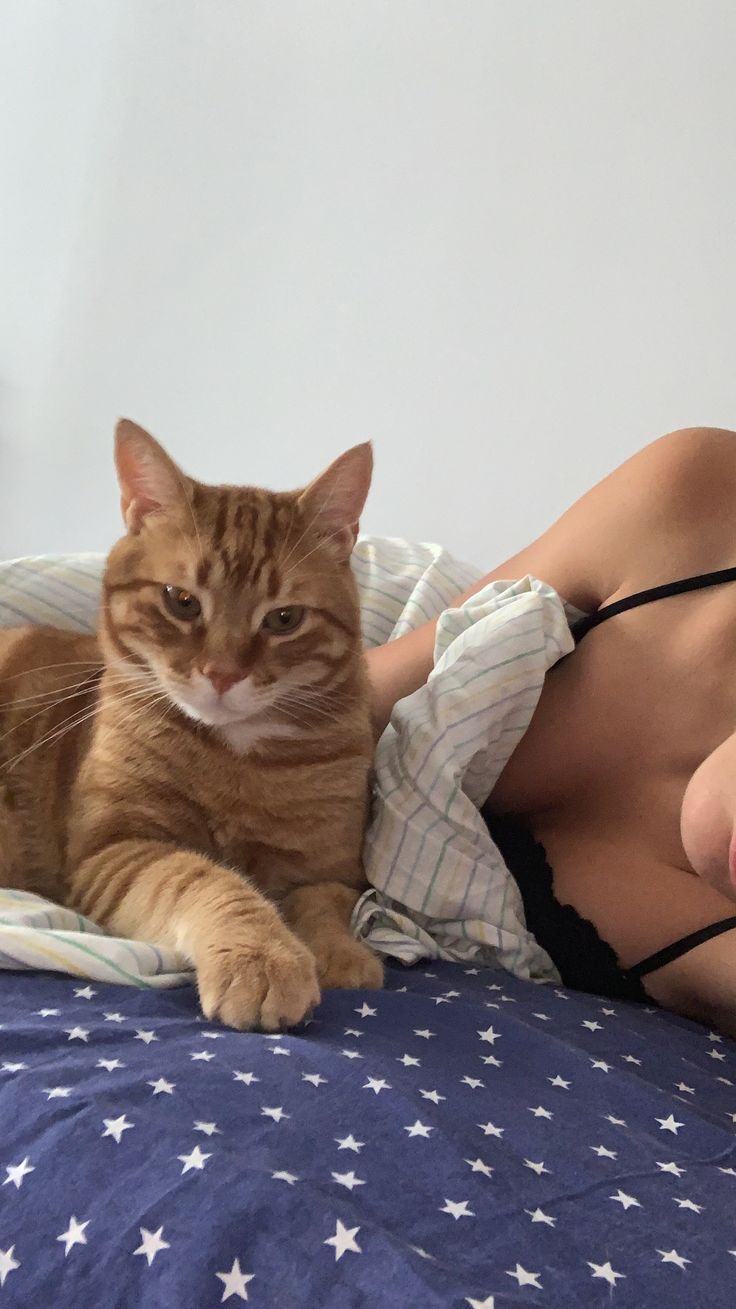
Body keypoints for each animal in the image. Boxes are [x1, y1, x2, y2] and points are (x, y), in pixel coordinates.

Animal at [0, 418, 377, 1021]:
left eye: (284, 619)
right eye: (181, 601)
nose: (221, 673)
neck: (235, 757)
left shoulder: (331, 867)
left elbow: (325, 904)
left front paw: (342, 954)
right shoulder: (115, 850)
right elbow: (201, 877)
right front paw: (262, 954)